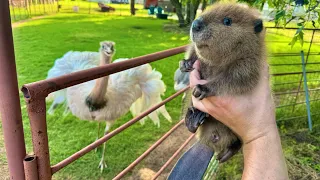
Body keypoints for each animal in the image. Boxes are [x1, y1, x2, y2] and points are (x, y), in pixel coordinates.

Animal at [180, 2, 268, 162]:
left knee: (237, 141)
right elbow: (195, 52)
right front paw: (185, 64)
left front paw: (201, 89)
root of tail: (214, 138)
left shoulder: (250, 65)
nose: (196, 24)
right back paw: (194, 118)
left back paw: (225, 154)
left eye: (227, 20)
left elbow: (235, 80)